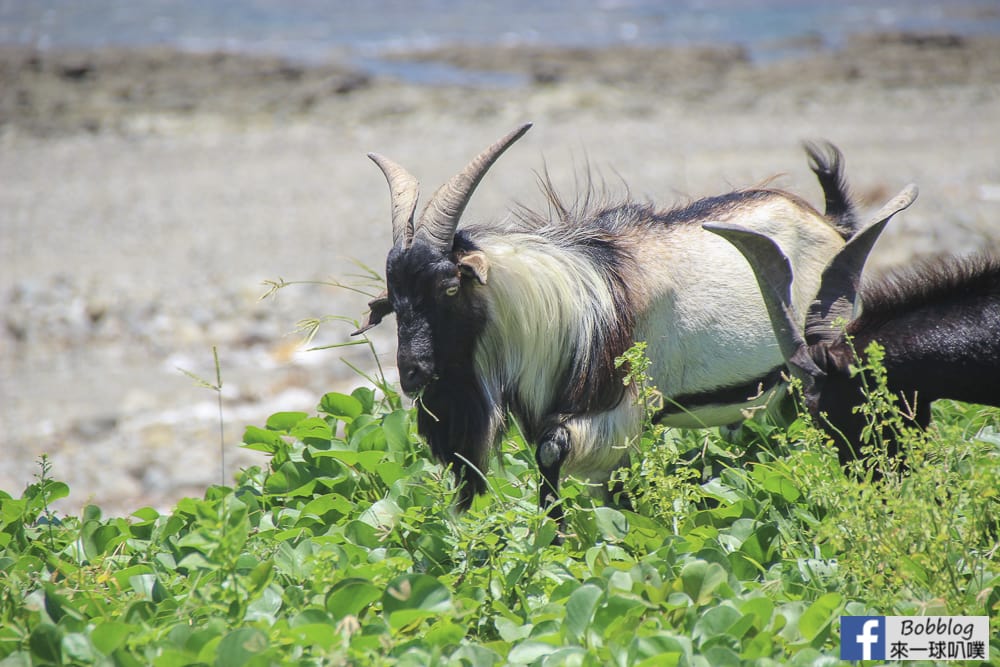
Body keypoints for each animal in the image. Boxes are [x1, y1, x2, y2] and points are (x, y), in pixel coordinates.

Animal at [354, 124, 884, 520]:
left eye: (448, 288)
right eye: (395, 299)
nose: (412, 374)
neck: (571, 307)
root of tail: (831, 225)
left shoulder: (619, 411)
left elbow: (556, 457)